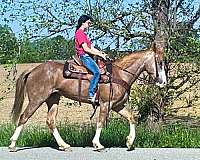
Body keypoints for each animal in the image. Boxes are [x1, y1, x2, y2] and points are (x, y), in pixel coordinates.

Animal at [8, 44, 167, 151]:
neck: (119, 74)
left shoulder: (117, 105)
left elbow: (131, 118)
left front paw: (129, 142)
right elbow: (100, 122)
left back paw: (63, 145)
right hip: (37, 99)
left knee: (50, 121)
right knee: (24, 117)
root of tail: (33, 69)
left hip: (53, 99)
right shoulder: (105, 104)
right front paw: (98, 144)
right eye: (159, 62)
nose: (163, 82)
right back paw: (12, 144)